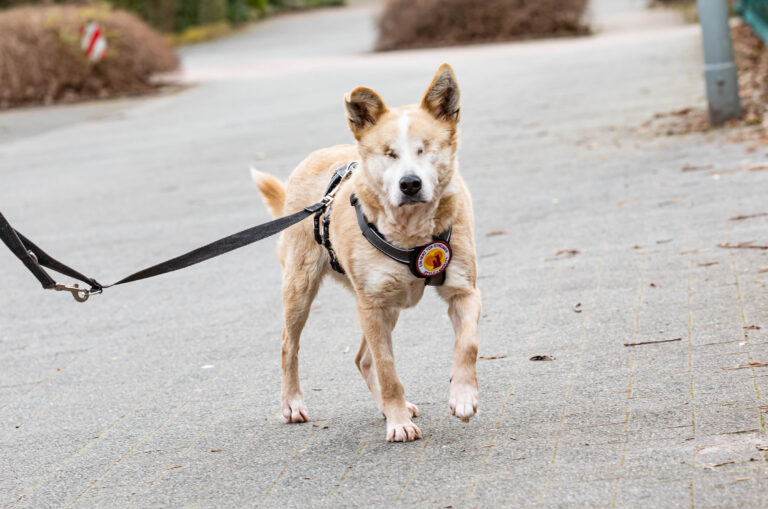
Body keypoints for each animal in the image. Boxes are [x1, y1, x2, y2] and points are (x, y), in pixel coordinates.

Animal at [252, 63, 480, 440]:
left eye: (425, 149)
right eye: (389, 153)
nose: (410, 184)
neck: (410, 233)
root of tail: (315, 157)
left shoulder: (464, 291)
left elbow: (468, 345)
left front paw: (462, 396)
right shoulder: (371, 305)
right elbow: (388, 371)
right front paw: (399, 422)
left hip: (389, 307)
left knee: (363, 358)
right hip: (303, 289)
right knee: (289, 345)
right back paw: (293, 403)